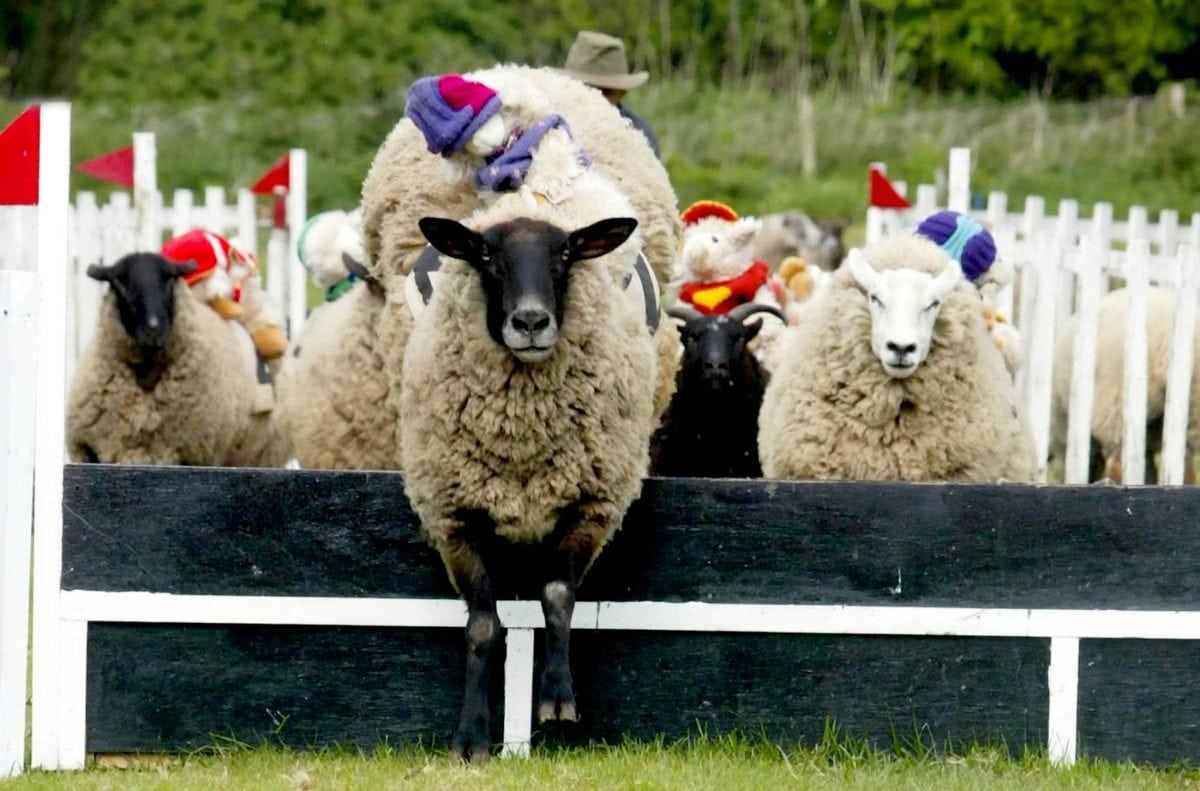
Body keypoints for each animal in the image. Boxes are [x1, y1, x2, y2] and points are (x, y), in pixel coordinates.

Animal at [69, 250, 283, 468]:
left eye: (170, 279)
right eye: (119, 281)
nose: (154, 329)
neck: (147, 374)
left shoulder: (195, 454)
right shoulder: (89, 448)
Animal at [405, 186, 662, 763]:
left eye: (564, 254)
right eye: (486, 256)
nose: (529, 322)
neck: (520, 431)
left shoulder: (591, 506)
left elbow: (557, 595)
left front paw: (557, 699)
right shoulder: (456, 517)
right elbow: (482, 626)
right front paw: (472, 736)